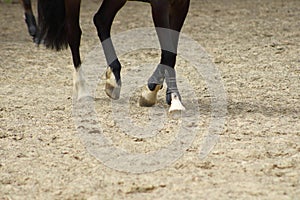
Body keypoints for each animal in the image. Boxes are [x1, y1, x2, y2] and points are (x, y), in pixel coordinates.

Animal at [20, 0, 190, 112]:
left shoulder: (181, 4)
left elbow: (171, 52)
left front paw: (171, 96)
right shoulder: (160, 5)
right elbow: (168, 52)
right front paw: (158, 95)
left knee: (101, 19)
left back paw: (113, 79)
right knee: (74, 33)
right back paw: (83, 89)